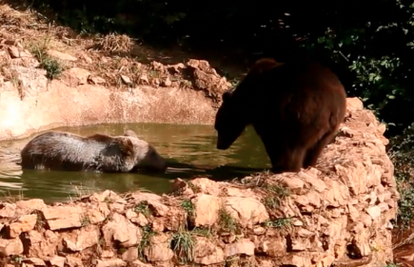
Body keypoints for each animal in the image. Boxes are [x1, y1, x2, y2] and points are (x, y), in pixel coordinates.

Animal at [215, 55, 348, 175]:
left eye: (218, 126)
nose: (219, 145)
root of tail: (333, 104)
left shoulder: (266, 108)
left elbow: (270, 136)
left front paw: (275, 162)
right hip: (331, 126)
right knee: (318, 145)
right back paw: (309, 165)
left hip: (304, 114)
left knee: (296, 145)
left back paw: (288, 167)